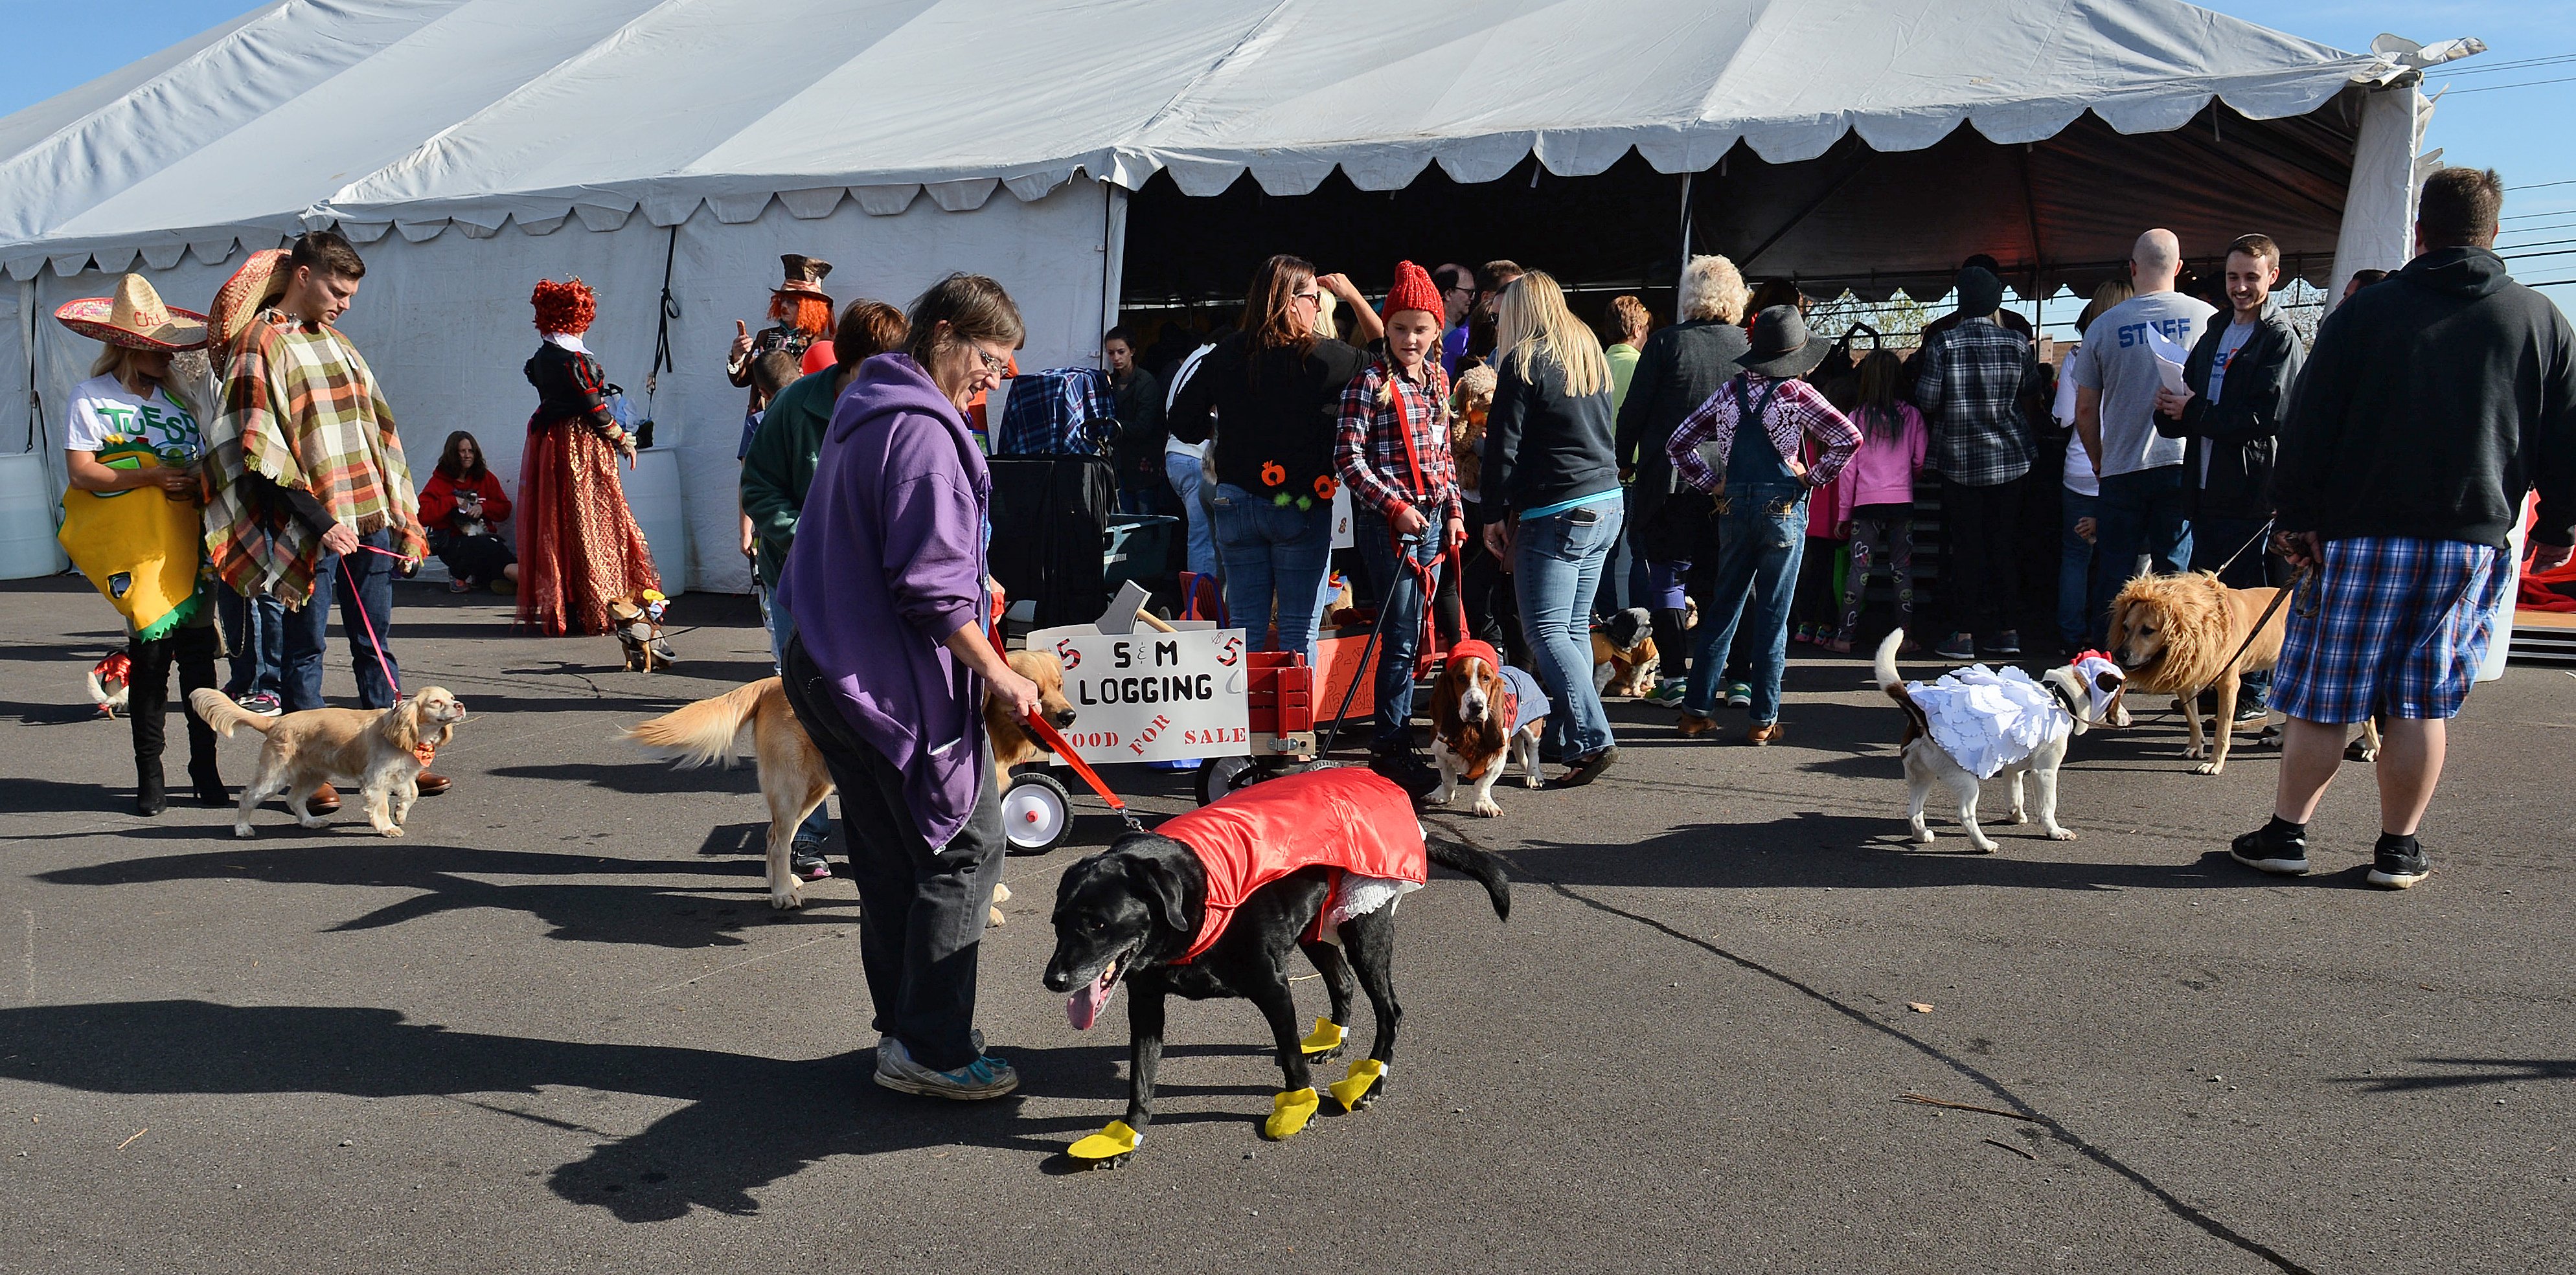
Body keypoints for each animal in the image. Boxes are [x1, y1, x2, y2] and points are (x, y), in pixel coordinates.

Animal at [196, 690, 473, 839]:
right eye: (436, 702)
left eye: (452, 698)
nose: (461, 705)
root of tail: (277, 722)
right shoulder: (375, 781)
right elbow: (381, 807)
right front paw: (387, 827)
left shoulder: (402, 775)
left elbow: (413, 793)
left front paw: (401, 813)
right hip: (273, 776)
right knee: (247, 797)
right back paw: (242, 828)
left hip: (313, 775)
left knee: (294, 799)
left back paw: (310, 822)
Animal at [633, 654, 1077, 912]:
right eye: (1034, 691)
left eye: (1059, 685)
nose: (1070, 716)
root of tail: (770, 683)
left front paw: (994, 891)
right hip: (794, 787)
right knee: (778, 839)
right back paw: (783, 893)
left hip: (817, 789)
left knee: (773, 836)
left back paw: (781, 882)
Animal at [1432, 638, 1545, 818]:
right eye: (1461, 678)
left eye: (1487, 678)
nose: (1477, 707)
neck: (1469, 730)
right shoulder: (1440, 753)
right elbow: (1448, 780)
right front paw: (1441, 795)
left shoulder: (1498, 759)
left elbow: (1482, 783)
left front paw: (1484, 805)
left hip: (1532, 727)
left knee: (1534, 749)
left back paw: (1533, 775)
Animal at [1875, 631, 2112, 855]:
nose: (2123, 719)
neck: (2060, 696)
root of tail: (1920, 715)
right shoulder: (2045, 772)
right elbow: (2048, 807)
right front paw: (2054, 831)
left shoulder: (2013, 769)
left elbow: (2016, 795)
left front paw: (2016, 816)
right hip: (1965, 782)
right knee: (1966, 815)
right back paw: (1983, 844)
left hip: (1923, 776)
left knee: (1914, 811)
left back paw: (1922, 835)